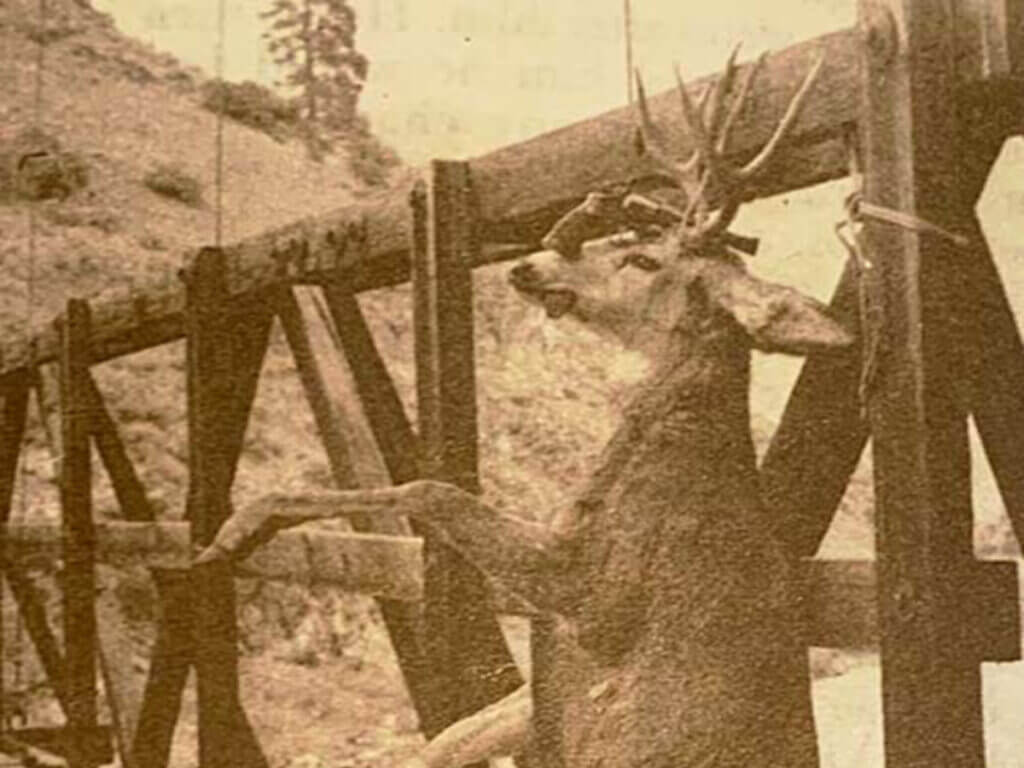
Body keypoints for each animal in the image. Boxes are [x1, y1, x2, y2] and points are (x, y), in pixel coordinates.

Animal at [196, 45, 850, 768]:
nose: (529, 266)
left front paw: (241, 525)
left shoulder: (591, 590)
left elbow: (431, 490)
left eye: (643, 259)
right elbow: (447, 737)